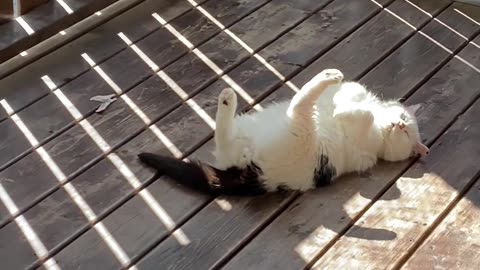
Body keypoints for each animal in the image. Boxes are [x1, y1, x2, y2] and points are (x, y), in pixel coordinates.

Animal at [138, 69, 428, 196]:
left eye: (406, 135)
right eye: (404, 120)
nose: (399, 125)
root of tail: (252, 175)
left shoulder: (365, 146)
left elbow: (360, 115)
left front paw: (343, 112)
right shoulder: (355, 93)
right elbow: (352, 94)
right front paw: (346, 102)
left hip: (299, 130)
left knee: (300, 105)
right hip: (250, 127)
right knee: (224, 136)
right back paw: (227, 100)